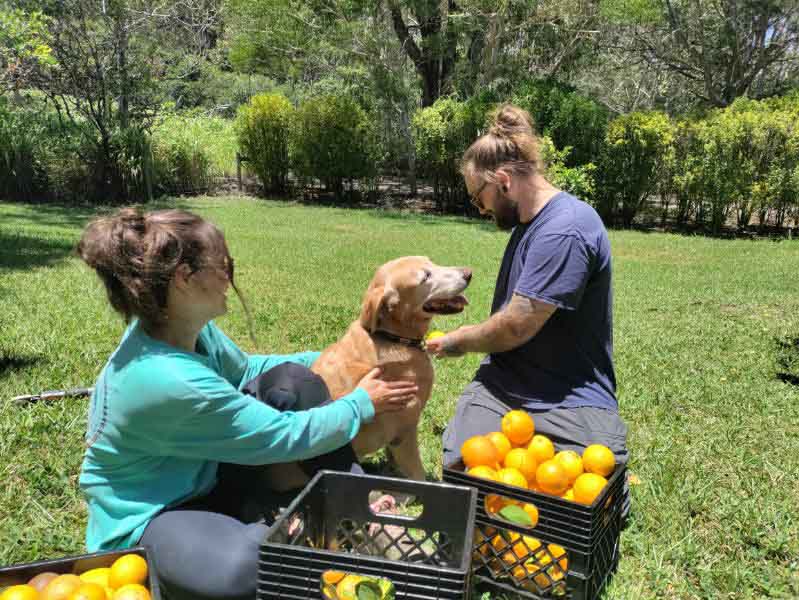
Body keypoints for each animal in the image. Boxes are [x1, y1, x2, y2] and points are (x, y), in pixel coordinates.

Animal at [266, 255, 472, 490]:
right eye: (425, 277)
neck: (391, 337)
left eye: (432, 262)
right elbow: (418, 476)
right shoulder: (405, 432)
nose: (469, 273)